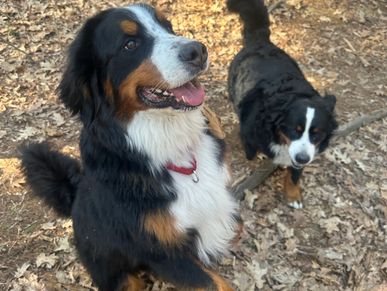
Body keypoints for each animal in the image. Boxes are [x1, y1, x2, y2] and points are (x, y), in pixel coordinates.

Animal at [229, 0, 338, 210]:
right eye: (295, 129)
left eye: (316, 133)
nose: (303, 158)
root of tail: (260, 41)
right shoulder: (250, 128)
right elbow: (250, 147)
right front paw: (252, 154)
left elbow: (294, 174)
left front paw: (293, 194)